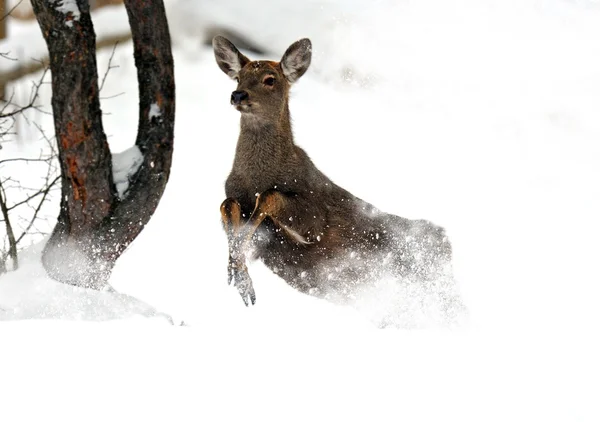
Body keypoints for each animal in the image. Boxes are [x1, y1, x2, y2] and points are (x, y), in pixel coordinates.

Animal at [213, 36, 466, 326]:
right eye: (238, 78)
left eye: (270, 79)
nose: (238, 95)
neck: (257, 177)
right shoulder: (235, 197)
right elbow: (227, 205)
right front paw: (238, 272)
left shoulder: (314, 218)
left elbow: (270, 196)